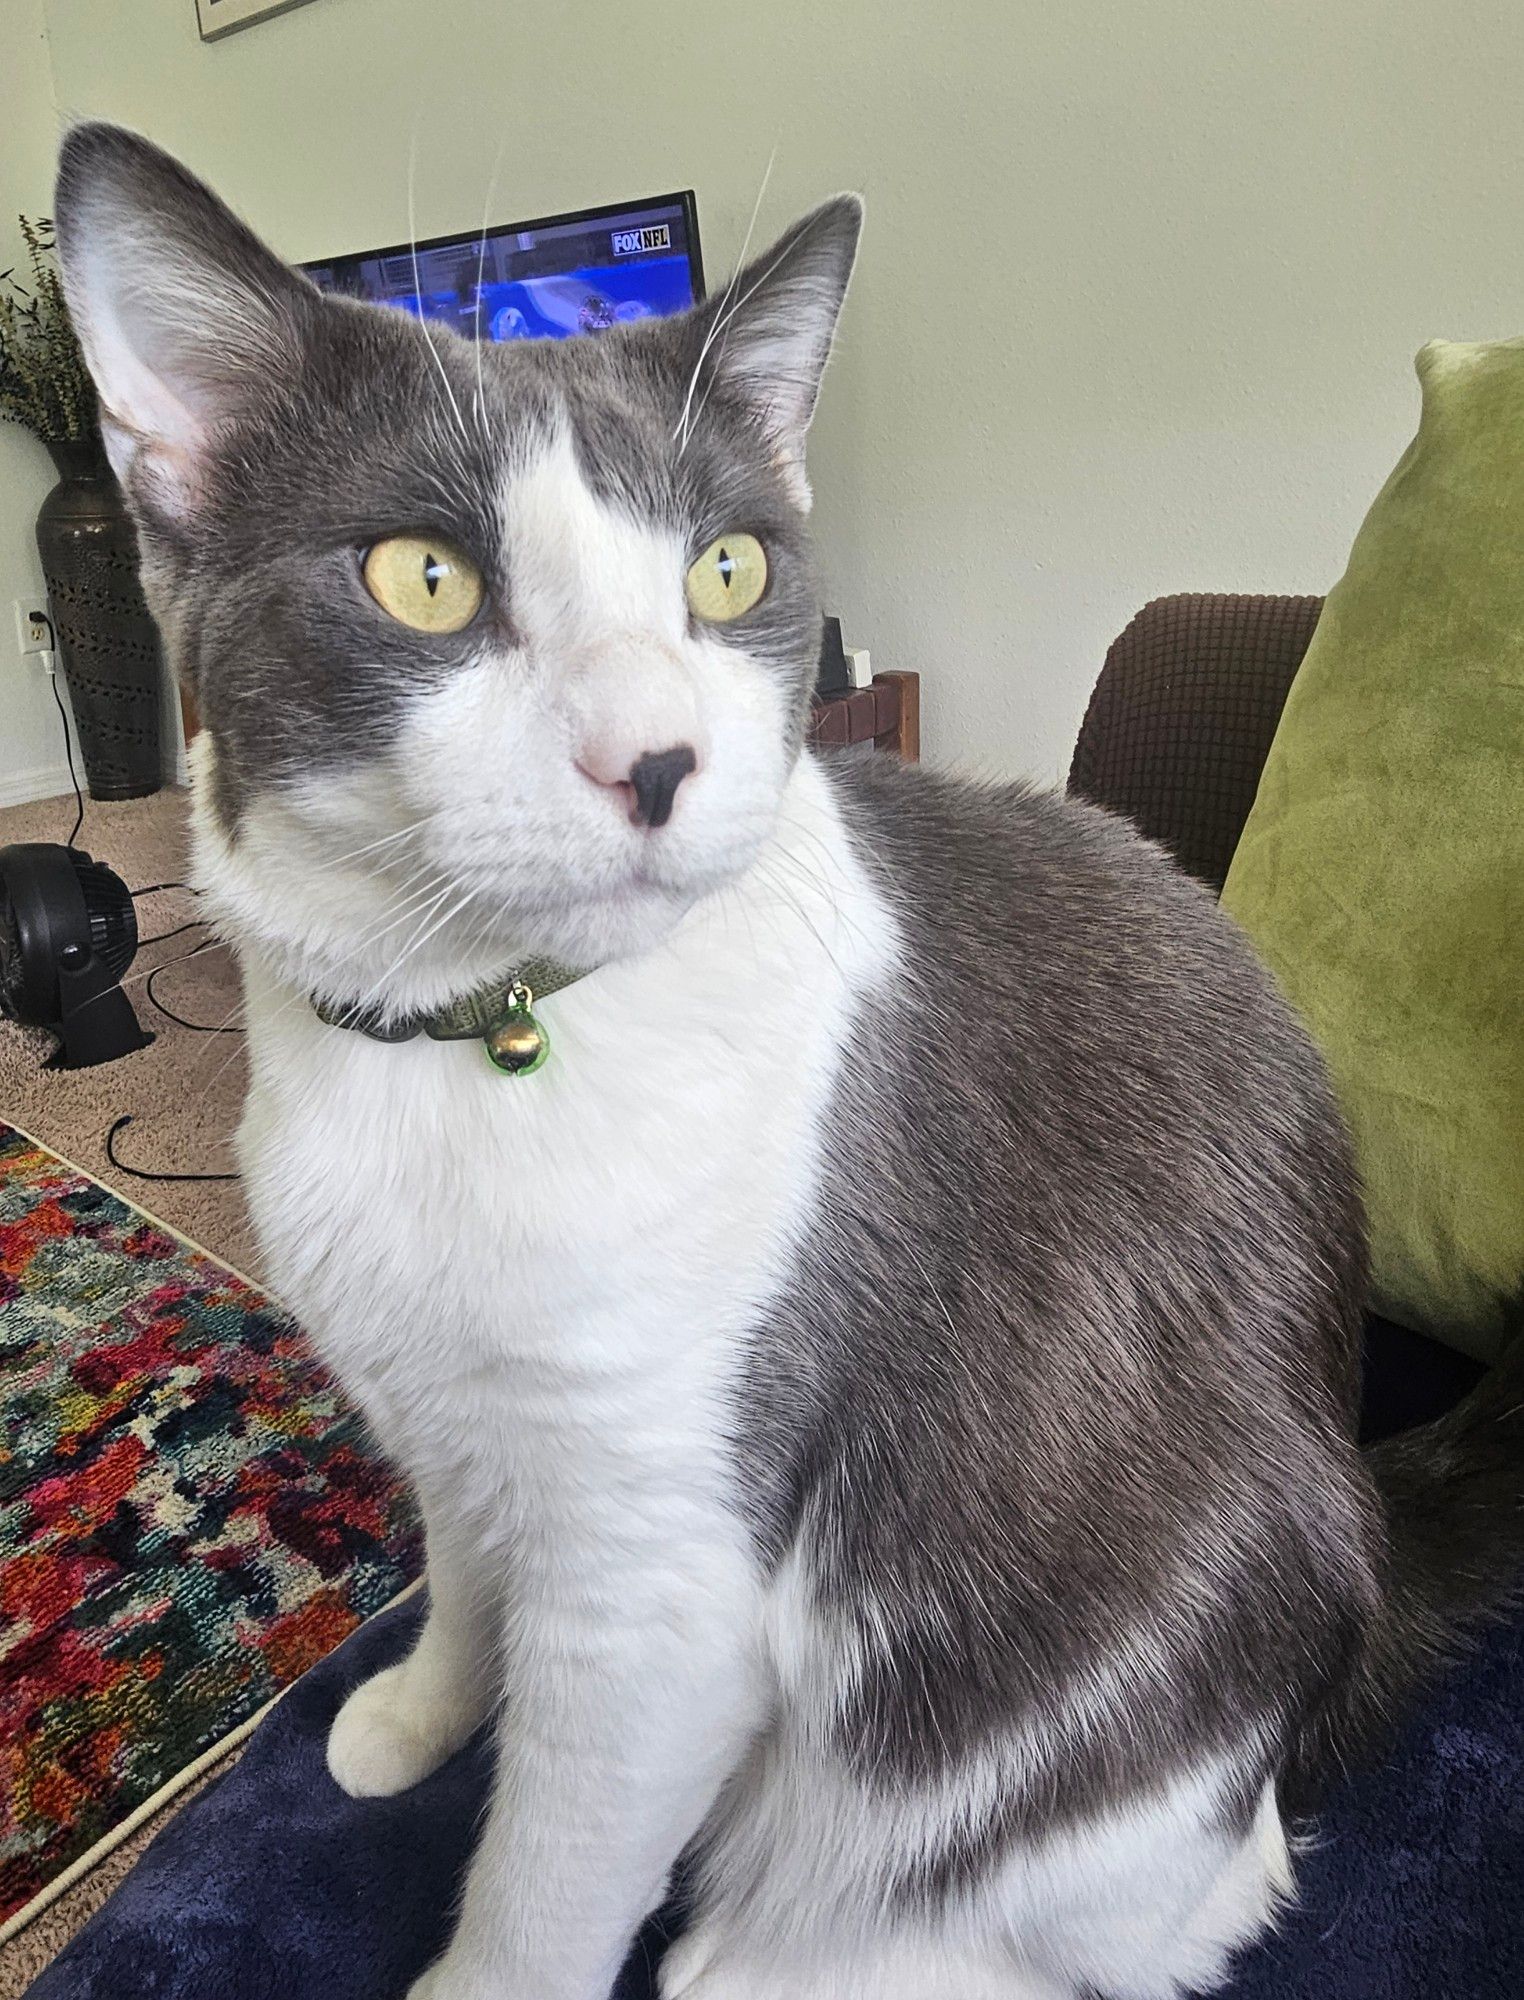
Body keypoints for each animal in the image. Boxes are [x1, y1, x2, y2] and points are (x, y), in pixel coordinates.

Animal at [56, 125, 1520, 2000]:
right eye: (422, 578)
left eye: (729, 571)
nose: (655, 758)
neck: (479, 1038)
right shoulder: (449, 1407)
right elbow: (465, 1562)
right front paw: (420, 1708)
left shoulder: (668, 1586)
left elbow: (544, 1892)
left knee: (1165, 1896)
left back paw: (773, 1955)